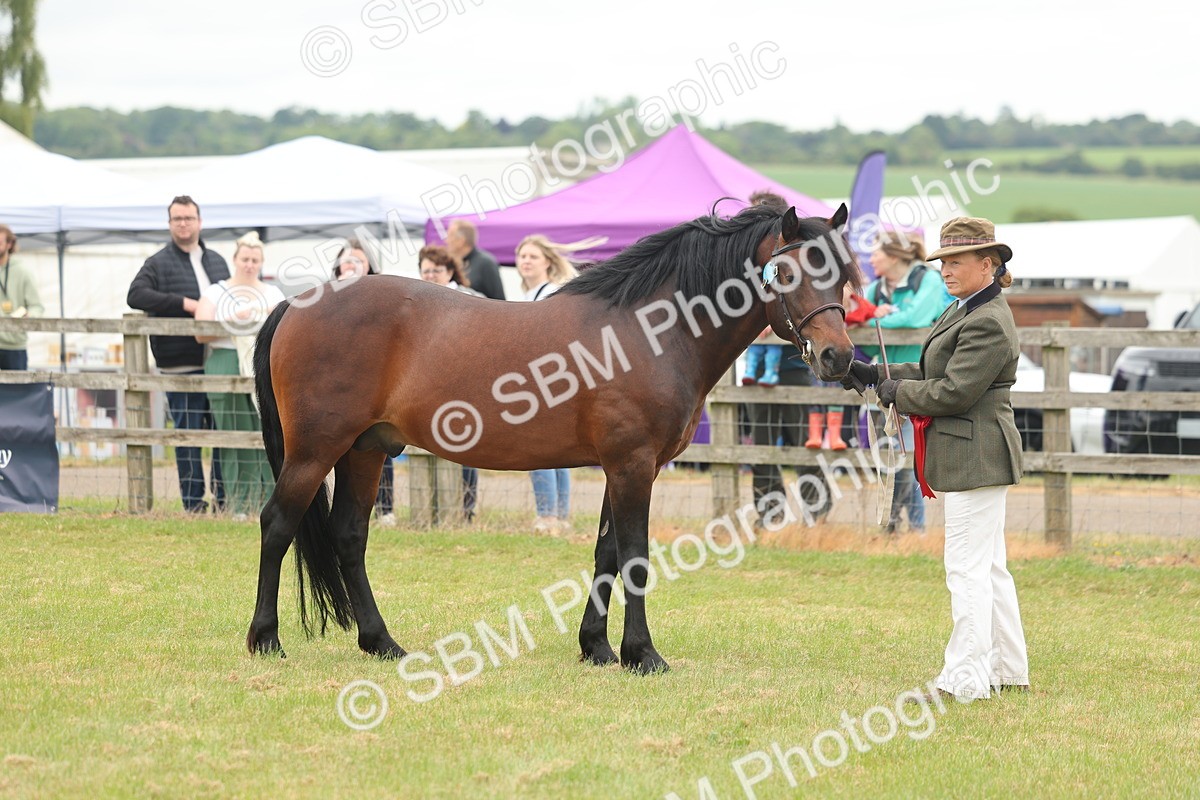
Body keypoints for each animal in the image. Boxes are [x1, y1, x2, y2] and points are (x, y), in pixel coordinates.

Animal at [246, 202, 863, 674]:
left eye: (842, 274)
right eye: (789, 274)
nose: (838, 356)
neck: (649, 331)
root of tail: (296, 303)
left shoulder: (624, 466)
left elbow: (607, 552)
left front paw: (597, 648)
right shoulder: (633, 464)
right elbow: (635, 556)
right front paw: (643, 655)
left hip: (366, 451)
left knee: (350, 536)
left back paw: (382, 643)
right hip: (316, 451)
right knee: (278, 523)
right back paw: (266, 638)